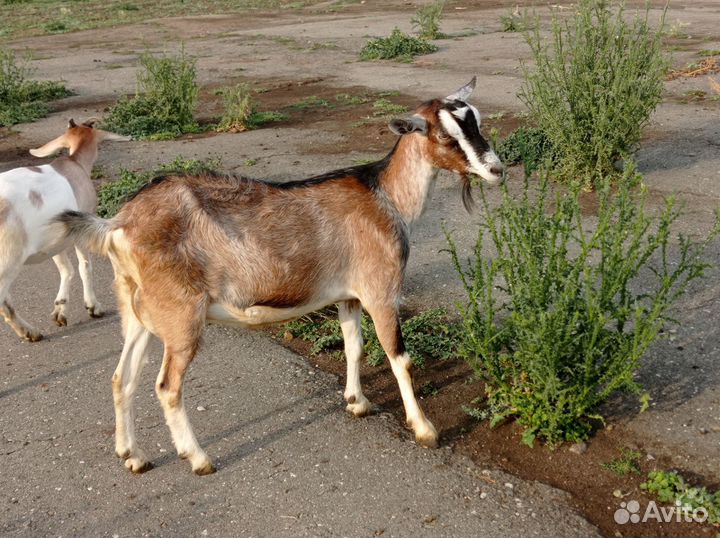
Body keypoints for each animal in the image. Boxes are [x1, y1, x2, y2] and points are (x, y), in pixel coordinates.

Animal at [0, 119, 128, 341]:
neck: (75, 164)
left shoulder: (55, 238)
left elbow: (65, 268)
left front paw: (60, 310)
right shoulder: (82, 227)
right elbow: (85, 266)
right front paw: (93, 307)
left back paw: (30, 332)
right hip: (8, 260)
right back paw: (29, 331)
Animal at [54, 78, 504, 475]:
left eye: (476, 120)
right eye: (444, 136)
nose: (496, 170)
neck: (386, 197)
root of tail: (119, 225)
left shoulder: (348, 295)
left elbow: (354, 347)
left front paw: (357, 402)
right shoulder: (381, 290)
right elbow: (400, 359)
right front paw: (425, 429)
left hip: (137, 309)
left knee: (122, 378)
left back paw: (132, 455)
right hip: (181, 315)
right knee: (167, 387)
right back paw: (198, 458)